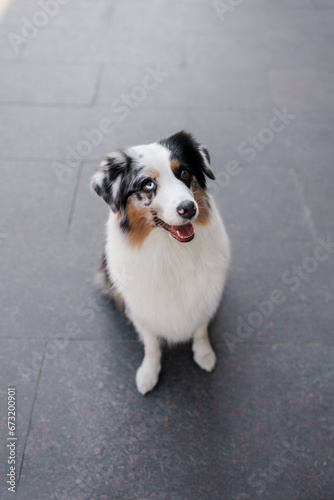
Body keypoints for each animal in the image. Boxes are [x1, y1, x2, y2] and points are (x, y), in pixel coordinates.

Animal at [92, 132, 231, 394]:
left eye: (184, 173)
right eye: (148, 184)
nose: (188, 208)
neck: (171, 248)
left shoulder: (204, 295)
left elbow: (200, 329)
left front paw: (204, 354)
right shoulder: (141, 307)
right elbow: (151, 343)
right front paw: (148, 373)